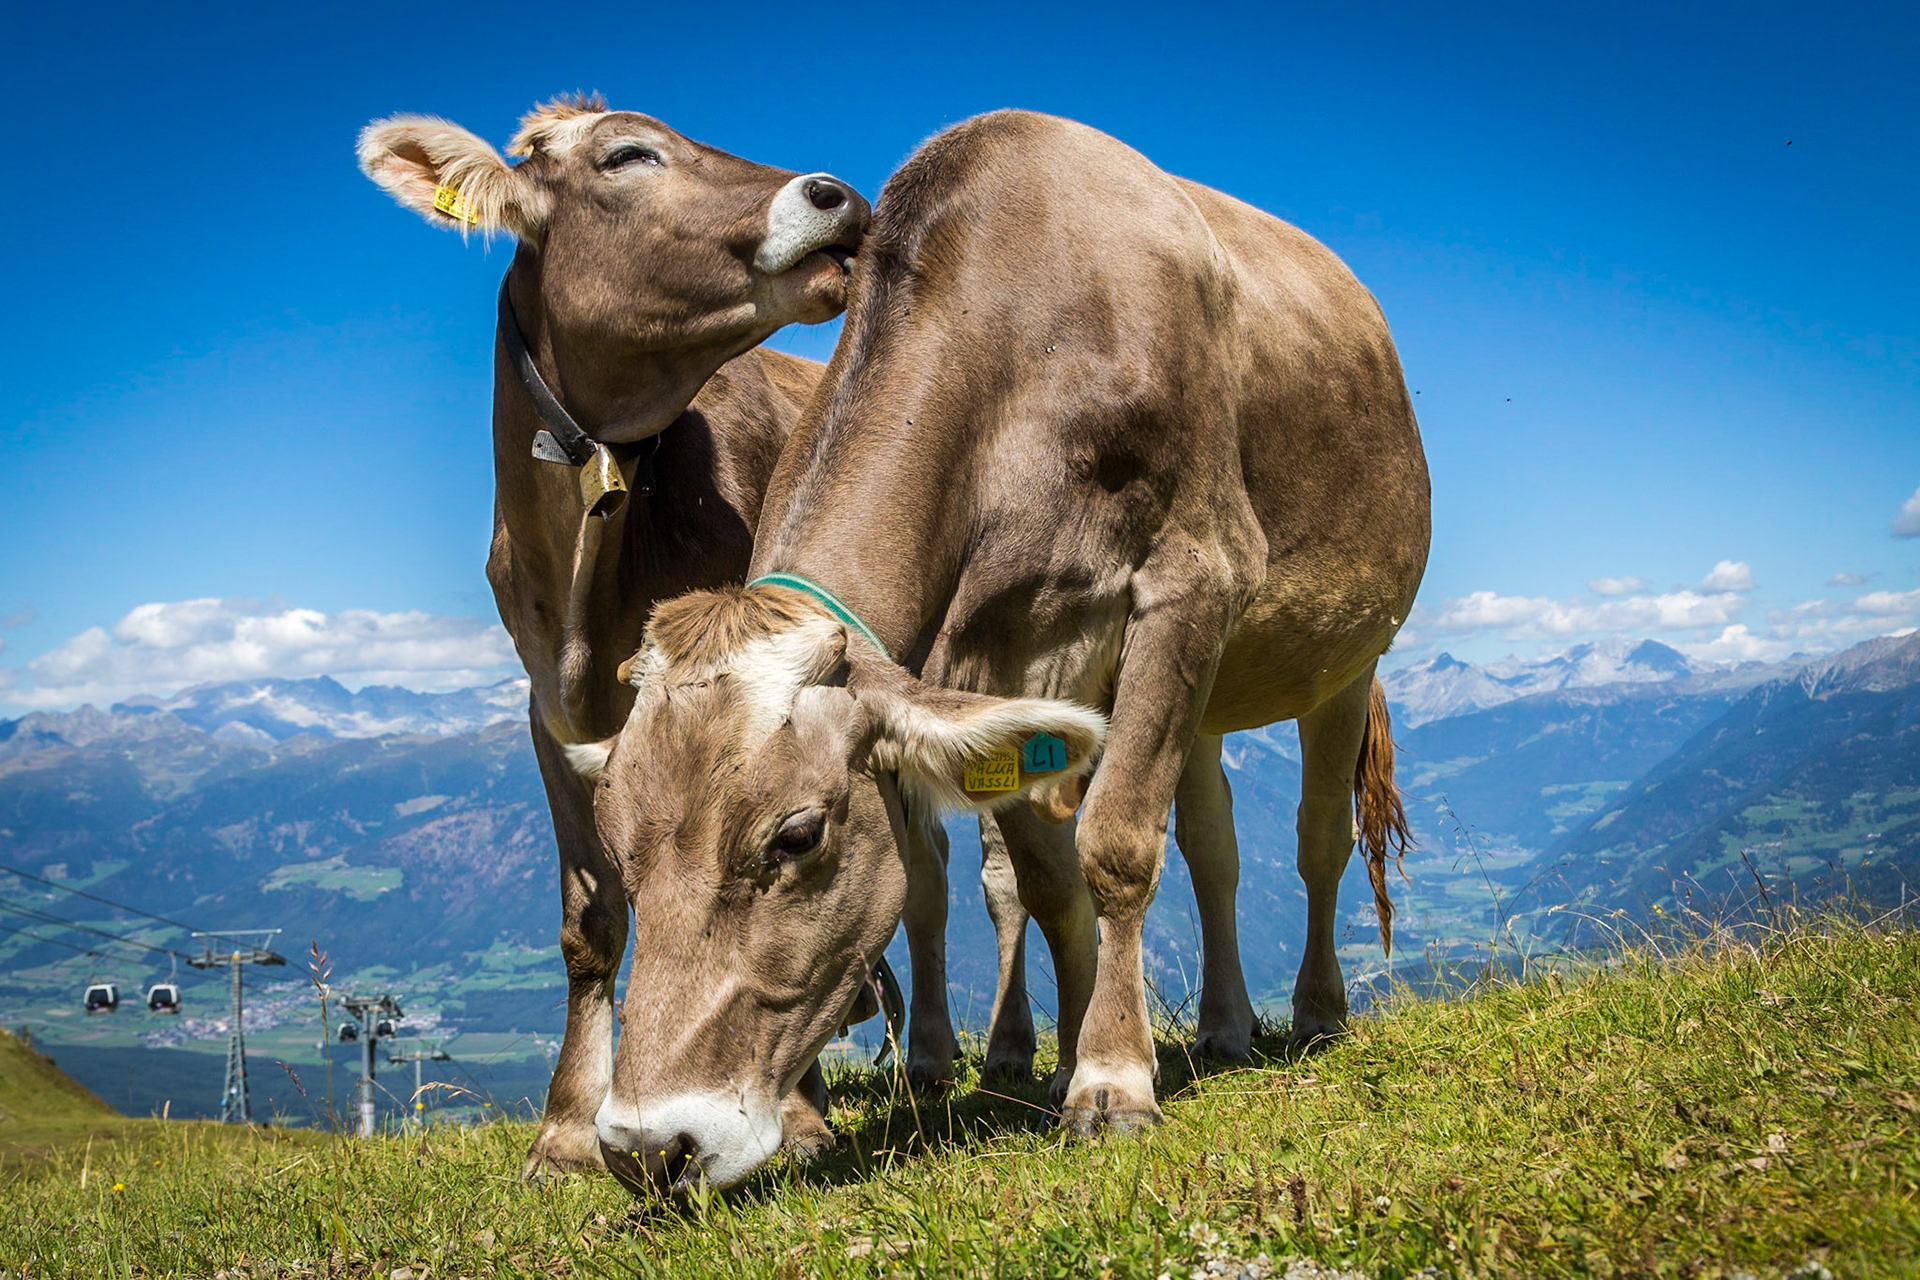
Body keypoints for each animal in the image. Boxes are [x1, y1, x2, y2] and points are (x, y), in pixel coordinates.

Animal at [356, 93, 874, 1179]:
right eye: (628, 155)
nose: (839, 194)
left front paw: (797, 1114)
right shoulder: (548, 715)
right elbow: (589, 921)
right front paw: (563, 1132)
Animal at [568, 108, 1431, 1193]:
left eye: (795, 836)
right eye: (618, 847)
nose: (649, 1146)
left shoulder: (1196, 576)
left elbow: (1115, 846)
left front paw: (1112, 1080)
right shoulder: (999, 657)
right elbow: (1053, 881)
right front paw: (1076, 1056)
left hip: (1341, 653)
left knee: (1319, 837)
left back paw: (1317, 1011)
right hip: (1196, 696)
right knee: (1214, 846)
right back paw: (1226, 1024)